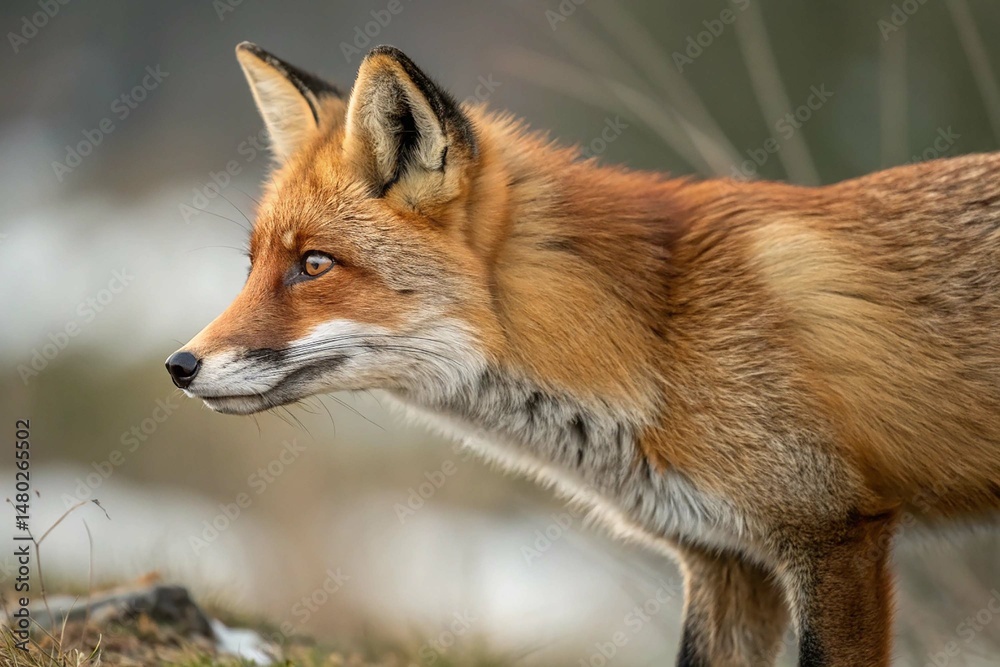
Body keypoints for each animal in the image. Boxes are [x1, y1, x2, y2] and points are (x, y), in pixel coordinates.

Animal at [166, 42, 1000, 667]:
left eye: (314, 264)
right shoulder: (727, 561)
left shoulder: (834, 533)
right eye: (253, 265)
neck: (658, 337)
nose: (180, 365)